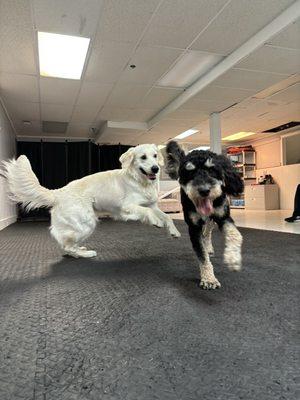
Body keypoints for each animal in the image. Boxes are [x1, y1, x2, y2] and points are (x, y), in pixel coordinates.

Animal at [2, 145, 180, 258]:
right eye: (143, 157)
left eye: (155, 156)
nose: (156, 168)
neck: (139, 180)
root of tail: (59, 192)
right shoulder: (127, 206)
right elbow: (148, 212)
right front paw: (156, 222)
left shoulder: (152, 204)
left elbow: (167, 216)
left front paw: (174, 232)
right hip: (86, 223)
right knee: (66, 246)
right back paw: (86, 254)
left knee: (68, 246)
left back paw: (79, 250)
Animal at [164, 141, 244, 290]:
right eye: (190, 172)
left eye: (212, 170)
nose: (204, 190)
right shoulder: (194, 227)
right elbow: (201, 254)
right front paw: (209, 279)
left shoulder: (223, 217)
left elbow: (235, 234)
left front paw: (233, 258)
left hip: (212, 219)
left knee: (208, 231)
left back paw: (210, 247)